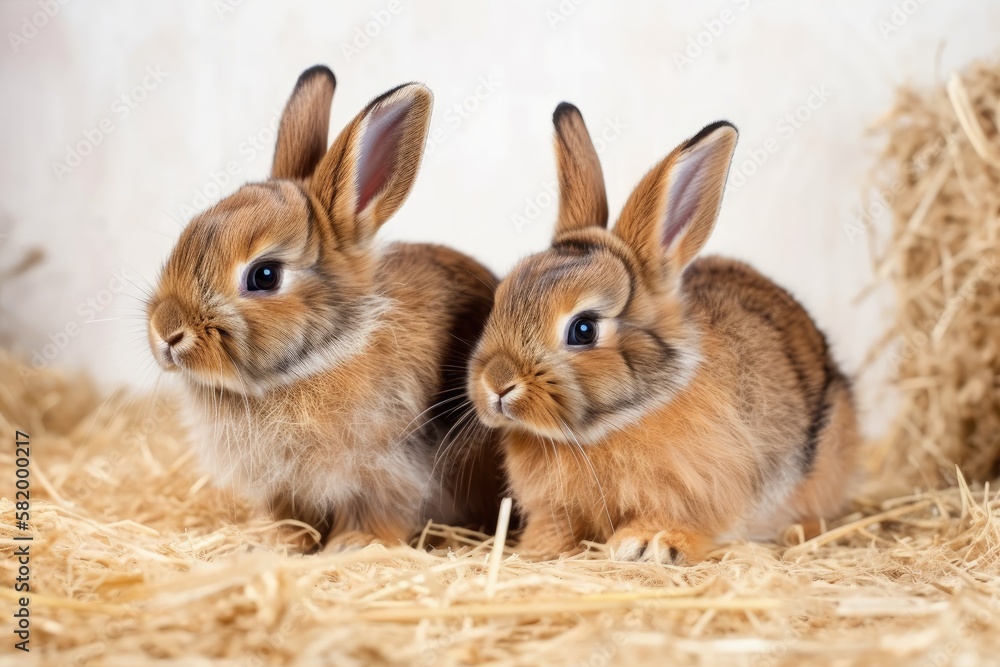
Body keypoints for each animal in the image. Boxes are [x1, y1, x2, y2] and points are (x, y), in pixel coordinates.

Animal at [145, 65, 504, 552]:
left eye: (264, 276)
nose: (166, 332)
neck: (325, 355)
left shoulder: (388, 469)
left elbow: (380, 514)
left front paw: (350, 545)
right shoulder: (285, 486)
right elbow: (294, 519)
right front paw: (277, 543)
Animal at [468, 104, 860, 564]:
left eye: (583, 329)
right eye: (500, 299)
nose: (496, 384)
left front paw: (647, 543)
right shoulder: (557, 507)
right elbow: (557, 528)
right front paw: (535, 550)